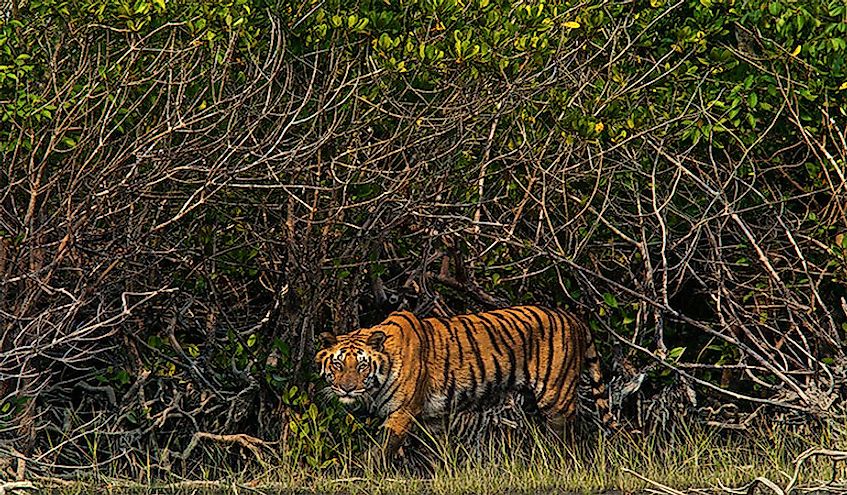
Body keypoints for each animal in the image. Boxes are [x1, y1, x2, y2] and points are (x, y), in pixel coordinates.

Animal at [314, 306, 620, 462]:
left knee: (567, 437)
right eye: (338, 365)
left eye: (362, 366)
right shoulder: (434, 418)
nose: (347, 388)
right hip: (533, 401)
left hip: (556, 396)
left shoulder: (402, 413)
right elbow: (431, 454)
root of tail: (574, 318)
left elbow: (380, 450)